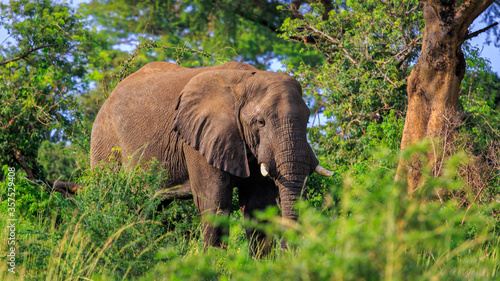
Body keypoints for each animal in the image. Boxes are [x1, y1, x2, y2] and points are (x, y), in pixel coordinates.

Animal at [91, 61, 332, 254]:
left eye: (307, 119)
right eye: (260, 122)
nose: (287, 251)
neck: (243, 81)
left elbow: (258, 205)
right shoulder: (197, 140)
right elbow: (214, 202)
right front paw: (214, 265)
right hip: (105, 139)